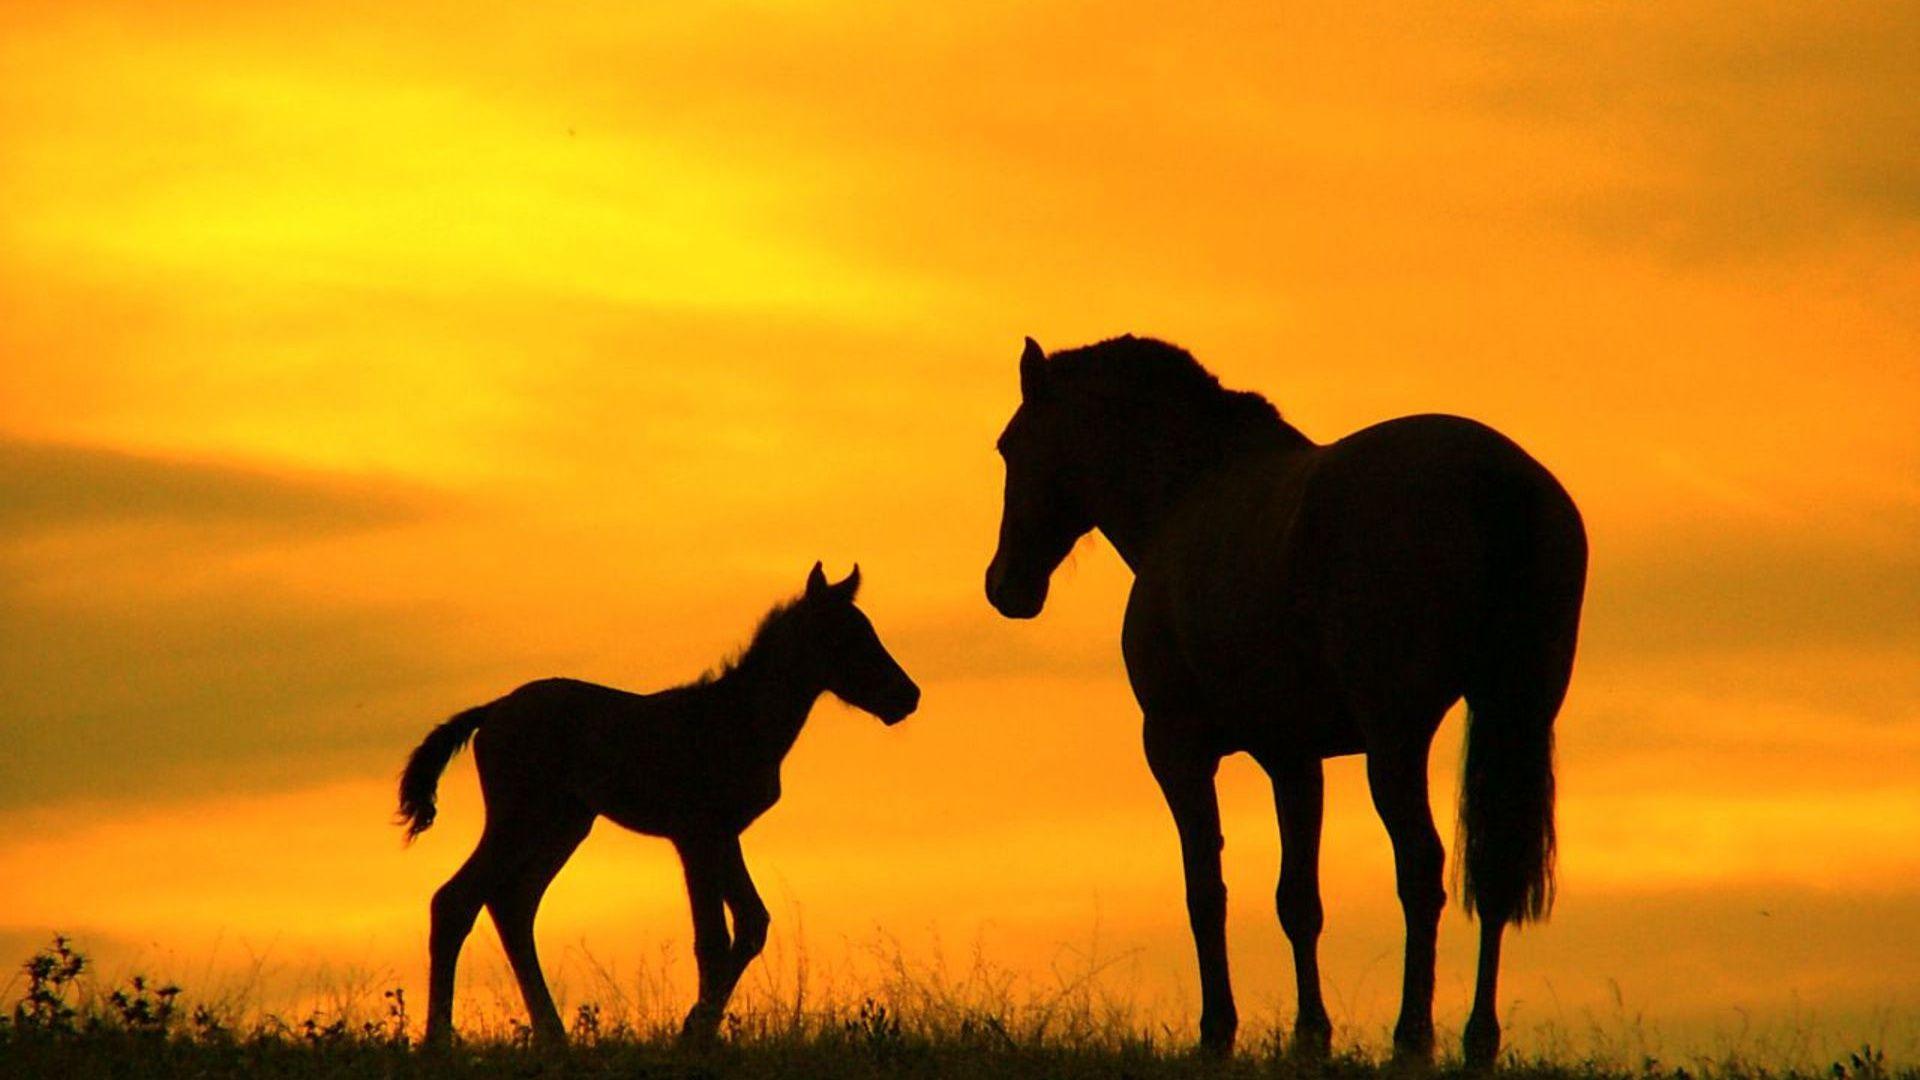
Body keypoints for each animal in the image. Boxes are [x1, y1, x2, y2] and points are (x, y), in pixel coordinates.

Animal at [396, 562, 920, 1048]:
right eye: (844, 637)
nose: (907, 696)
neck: (739, 719)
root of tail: (492, 711)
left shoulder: (722, 835)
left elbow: (751, 923)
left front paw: (697, 1028)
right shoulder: (696, 834)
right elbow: (714, 939)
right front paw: (694, 1035)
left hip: (563, 825)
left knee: (512, 904)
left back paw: (552, 1035)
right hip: (517, 819)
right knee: (456, 900)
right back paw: (439, 1040)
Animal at [984, 336, 1586, 1066]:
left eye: (1010, 447)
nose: (1005, 586)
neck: (1186, 496)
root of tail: (1498, 482)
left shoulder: (1176, 746)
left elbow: (1205, 888)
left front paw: (1217, 1032)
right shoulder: (1293, 757)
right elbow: (1299, 899)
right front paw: (1310, 1036)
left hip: (1397, 736)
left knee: (1420, 867)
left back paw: (1412, 1039)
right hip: (1513, 711)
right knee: (1493, 871)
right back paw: (1478, 1042)